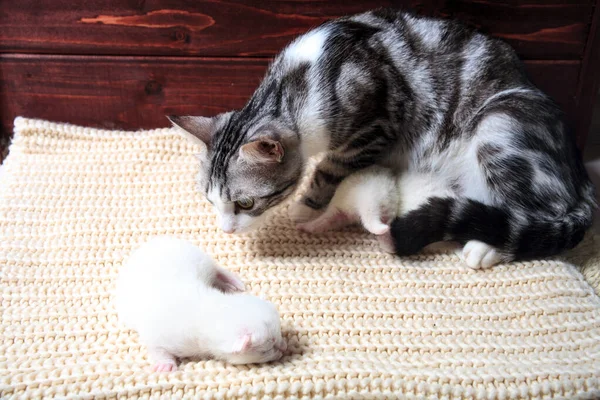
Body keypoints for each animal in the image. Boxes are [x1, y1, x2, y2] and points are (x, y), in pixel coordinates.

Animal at [116, 234, 288, 372]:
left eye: (279, 335)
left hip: (200, 258)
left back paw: (233, 281)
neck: (215, 311)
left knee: (217, 269)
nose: (284, 348)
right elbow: (158, 350)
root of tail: (152, 243)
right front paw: (166, 365)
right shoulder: (156, 337)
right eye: (267, 350)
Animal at [168, 7, 596, 268]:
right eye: (211, 200)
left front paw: (305, 206)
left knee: (537, 212)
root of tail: (577, 170)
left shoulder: (376, 125)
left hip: (499, 124)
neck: (298, 82)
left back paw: (486, 247)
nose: (225, 228)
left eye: (245, 202)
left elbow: (326, 170)